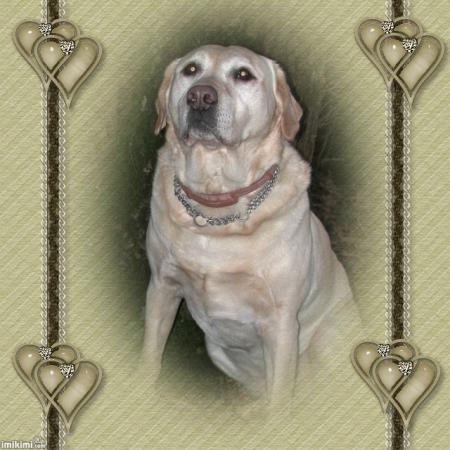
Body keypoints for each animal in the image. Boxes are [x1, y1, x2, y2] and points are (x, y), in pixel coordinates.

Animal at [143, 45, 352, 401]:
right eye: (190, 70)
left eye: (243, 75)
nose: (200, 97)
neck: (216, 205)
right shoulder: (161, 286)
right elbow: (149, 360)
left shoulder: (281, 322)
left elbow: (279, 399)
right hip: (217, 349)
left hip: (326, 341)